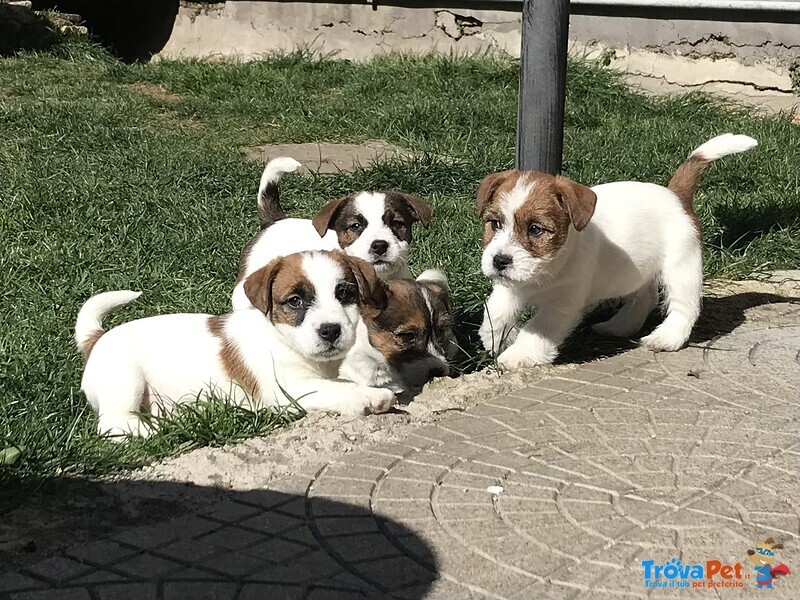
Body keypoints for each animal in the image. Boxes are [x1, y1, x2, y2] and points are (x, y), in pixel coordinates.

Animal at [76, 248, 396, 436]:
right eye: (295, 301)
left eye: (344, 294)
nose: (330, 330)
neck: (282, 340)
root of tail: (97, 339)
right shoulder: (288, 391)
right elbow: (337, 388)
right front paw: (369, 397)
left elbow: (345, 378)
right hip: (125, 381)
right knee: (113, 423)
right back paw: (157, 429)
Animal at [478, 134, 760, 368]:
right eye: (495, 224)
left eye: (535, 229)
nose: (500, 261)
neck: (548, 268)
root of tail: (676, 195)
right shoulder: (511, 288)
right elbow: (495, 313)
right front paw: (500, 339)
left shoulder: (562, 304)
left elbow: (538, 329)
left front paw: (518, 354)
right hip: (638, 272)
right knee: (645, 298)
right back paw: (618, 326)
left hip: (681, 268)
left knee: (684, 307)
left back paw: (666, 337)